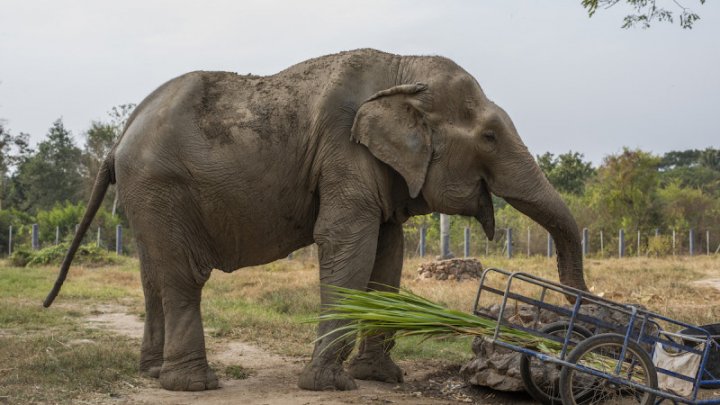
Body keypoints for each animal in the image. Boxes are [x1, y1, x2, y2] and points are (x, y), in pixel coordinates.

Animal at [42, 48, 588, 392]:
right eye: (490, 137)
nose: (571, 329)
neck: (401, 69)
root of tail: (119, 139)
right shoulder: (344, 151)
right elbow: (347, 244)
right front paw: (331, 384)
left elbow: (388, 255)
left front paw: (380, 378)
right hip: (161, 186)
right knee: (181, 276)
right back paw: (192, 385)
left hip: (144, 196)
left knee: (151, 276)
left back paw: (153, 375)